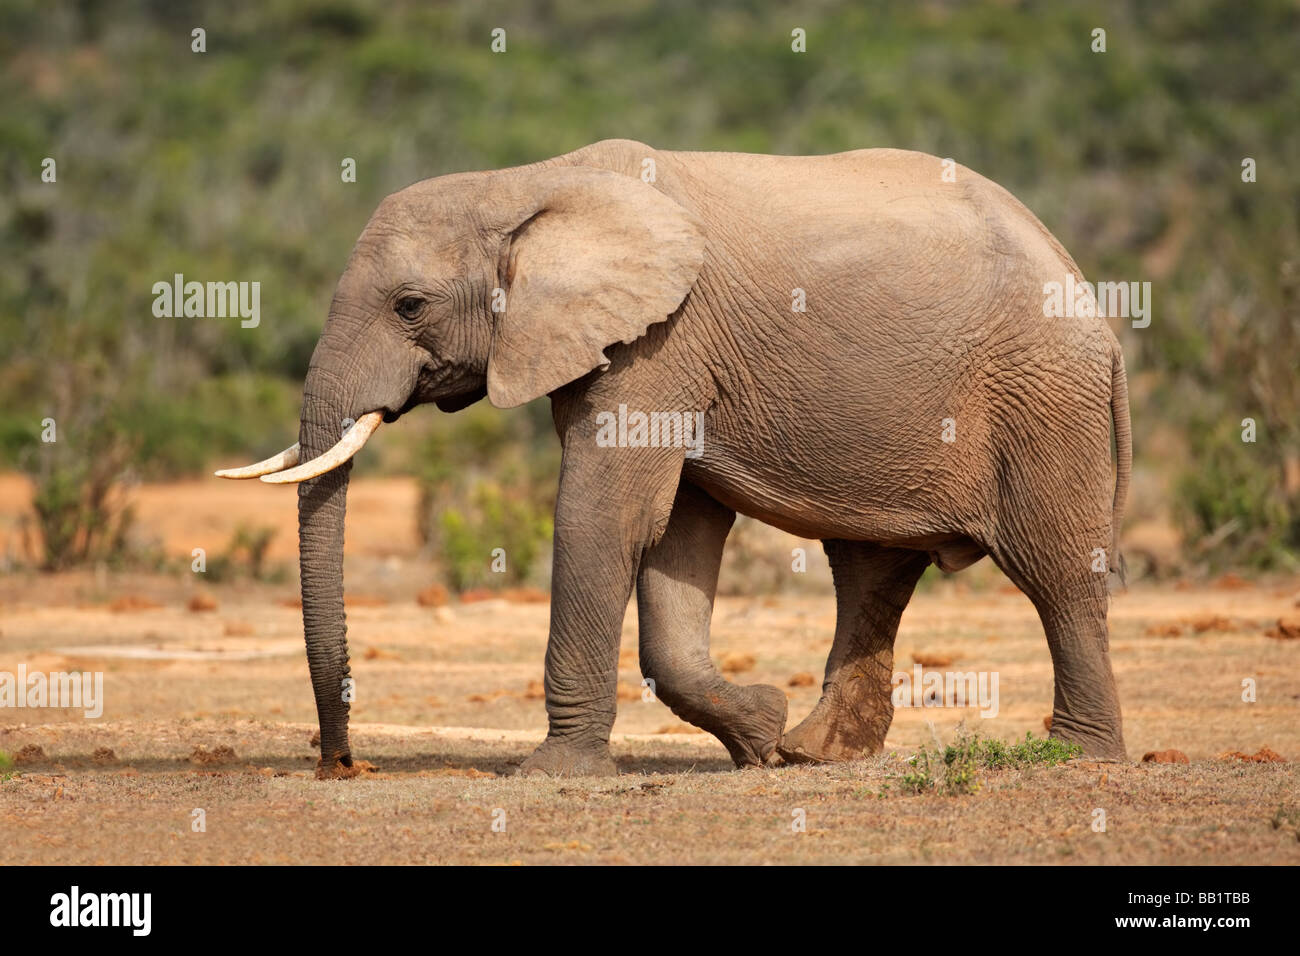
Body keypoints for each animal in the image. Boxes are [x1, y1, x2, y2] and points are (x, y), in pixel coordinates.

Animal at [213, 140, 1128, 780]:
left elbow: (606, 515)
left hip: (1044, 401)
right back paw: (814, 753)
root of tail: (1091, 295)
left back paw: (1077, 756)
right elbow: (678, 533)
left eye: (410, 306)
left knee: (1056, 573)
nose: (341, 763)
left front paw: (553, 773)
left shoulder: (660, 341)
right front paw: (757, 736)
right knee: (870, 572)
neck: (527, 183)